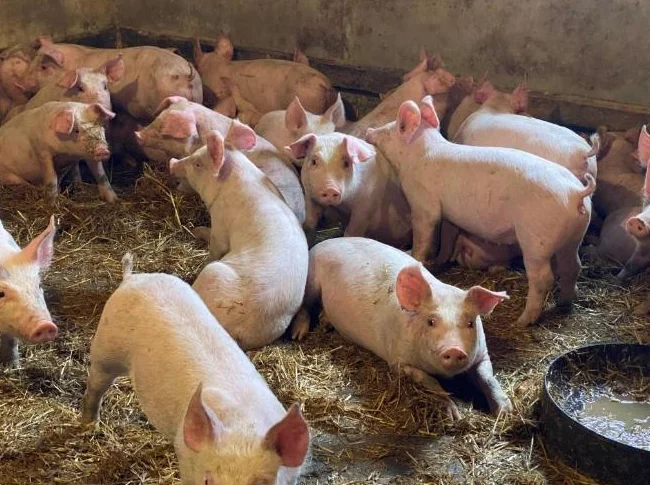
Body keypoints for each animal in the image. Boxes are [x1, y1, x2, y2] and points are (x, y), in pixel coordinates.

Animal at [80, 253, 310, 485]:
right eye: (208, 480)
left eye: (262, 484)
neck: (242, 424)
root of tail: (131, 279)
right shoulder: (187, 462)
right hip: (106, 349)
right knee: (95, 385)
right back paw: (89, 425)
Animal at [169, 122, 309, 349]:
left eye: (197, 164)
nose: (172, 162)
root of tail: (236, 330)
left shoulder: (220, 222)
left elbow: (215, 245)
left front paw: (197, 231)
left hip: (213, 273)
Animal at [292, 237, 511, 419]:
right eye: (431, 321)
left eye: (470, 323)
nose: (455, 349)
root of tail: (325, 241)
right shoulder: (398, 360)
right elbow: (430, 381)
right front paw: (453, 415)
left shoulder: (482, 353)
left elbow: (488, 378)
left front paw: (505, 412)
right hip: (310, 281)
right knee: (304, 304)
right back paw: (298, 335)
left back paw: (326, 324)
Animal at [366, 96, 595, 326]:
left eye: (392, 129)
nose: (369, 130)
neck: (420, 155)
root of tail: (576, 192)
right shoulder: (450, 216)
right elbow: (447, 237)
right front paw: (440, 261)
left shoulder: (423, 204)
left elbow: (423, 236)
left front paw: (415, 256)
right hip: (574, 237)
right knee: (573, 267)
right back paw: (565, 304)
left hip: (536, 240)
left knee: (543, 278)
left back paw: (521, 321)